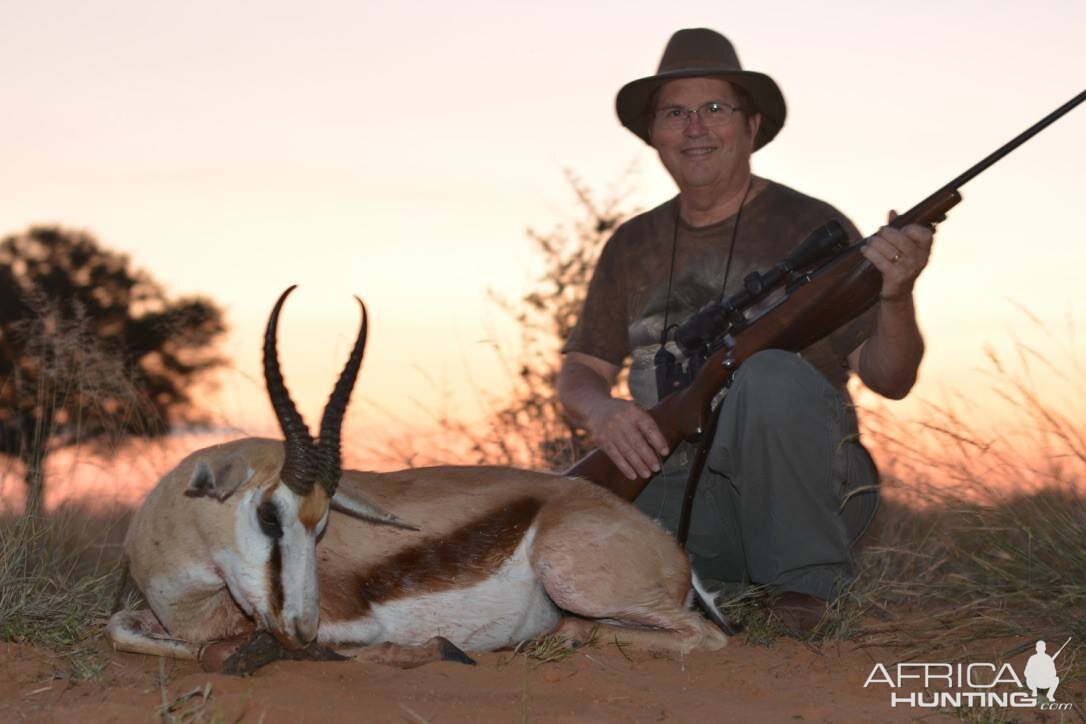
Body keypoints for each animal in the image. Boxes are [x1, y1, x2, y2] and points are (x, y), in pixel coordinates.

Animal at [108, 286, 729, 668]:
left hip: (576, 582)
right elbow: (120, 627)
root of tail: (675, 554)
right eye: (268, 514)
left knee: (707, 636)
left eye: (322, 523)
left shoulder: (347, 624)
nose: (303, 626)